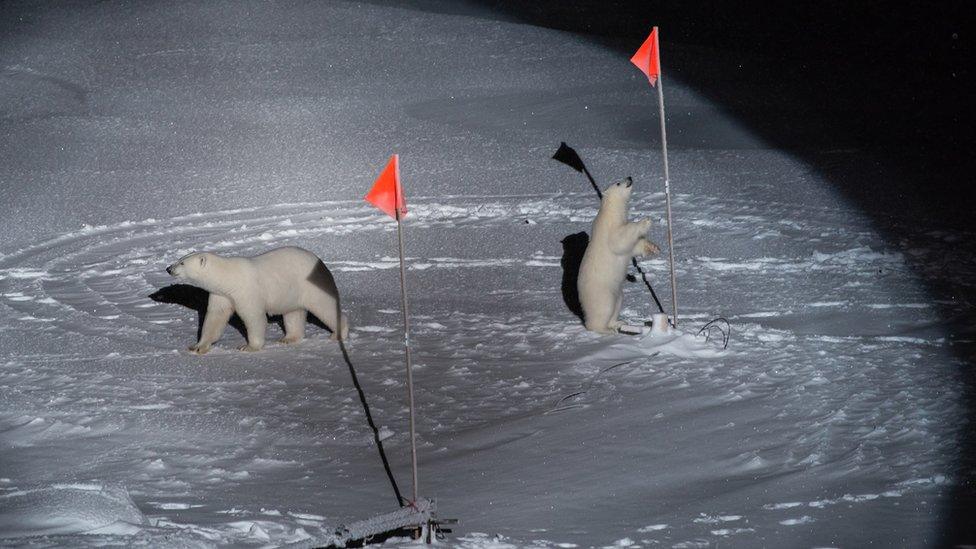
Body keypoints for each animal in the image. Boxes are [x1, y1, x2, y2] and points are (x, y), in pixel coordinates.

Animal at [165, 246, 348, 353]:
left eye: (182, 263)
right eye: (179, 259)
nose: (168, 268)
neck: (228, 277)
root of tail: (320, 262)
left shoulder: (246, 290)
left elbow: (254, 317)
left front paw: (248, 347)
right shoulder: (221, 294)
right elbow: (215, 318)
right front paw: (197, 346)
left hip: (311, 285)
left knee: (324, 306)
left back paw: (338, 333)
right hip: (291, 291)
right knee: (293, 313)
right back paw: (288, 338)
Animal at [577, 177, 661, 334]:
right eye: (618, 183)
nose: (629, 177)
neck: (611, 211)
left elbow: (634, 247)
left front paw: (654, 247)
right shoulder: (608, 227)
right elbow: (619, 239)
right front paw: (645, 221)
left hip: (617, 292)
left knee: (617, 303)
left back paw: (617, 322)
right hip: (602, 292)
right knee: (604, 309)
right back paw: (605, 329)